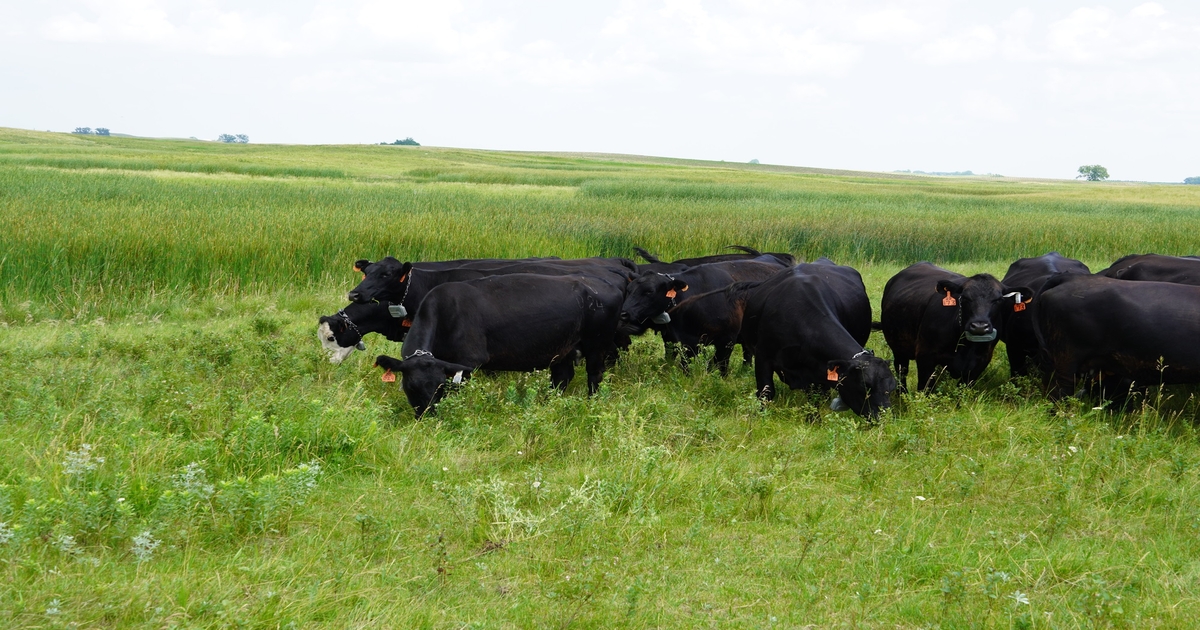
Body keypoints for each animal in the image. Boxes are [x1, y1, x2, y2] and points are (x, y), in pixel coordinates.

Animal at [372, 272, 619, 415]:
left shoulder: (468, 361)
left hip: (597, 344)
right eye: (412, 387)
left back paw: (591, 404)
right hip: (563, 350)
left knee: (594, 375)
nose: (428, 415)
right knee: (561, 378)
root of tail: (601, 283)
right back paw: (548, 404)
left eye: (440, 386)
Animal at [734, 259, 897, 417]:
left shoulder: (819, 371)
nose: (884, 417)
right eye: (865, 386)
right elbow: (765, 393)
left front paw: (813, 419)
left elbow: (814, 399)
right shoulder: (763, 357)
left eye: (891, 388)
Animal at [883, 261, 1032, 391]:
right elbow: (925, 390)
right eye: (964, 297)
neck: (965, 346)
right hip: (898, 348)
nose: (979, 326)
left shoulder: (980, 361)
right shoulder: (925, 356)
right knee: (902, 372)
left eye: (999, 299)